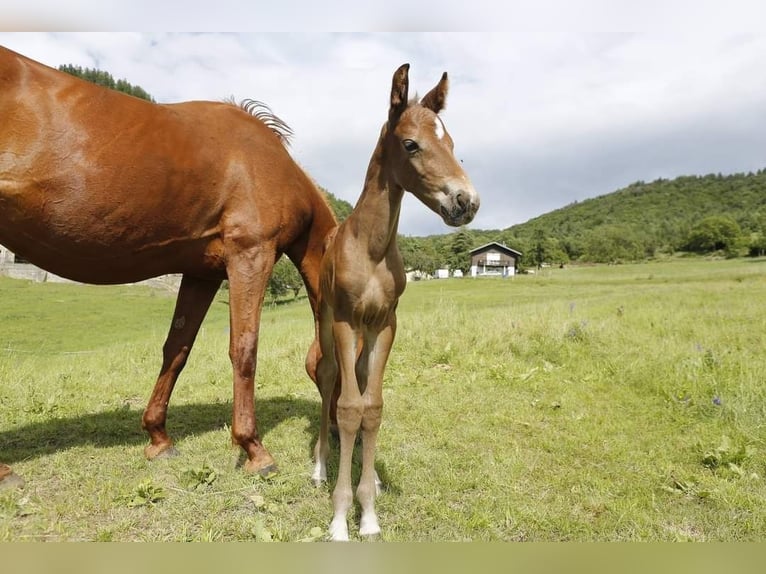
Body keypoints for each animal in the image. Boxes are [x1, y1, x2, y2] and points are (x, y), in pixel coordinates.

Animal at [0, 46, 338, 490]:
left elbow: (176, 349)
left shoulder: (202, 274)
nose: (344, 430)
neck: (269, 163)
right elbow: (244, 348)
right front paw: (254, 450)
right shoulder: (251, 255)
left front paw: (158, 437)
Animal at [310, 65, 480, 544]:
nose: (466, 201)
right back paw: (319, 465)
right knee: (329, 378)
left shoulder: (386, 324)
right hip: (326, 321)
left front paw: (368, 509)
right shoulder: (346, 321)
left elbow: (373, 407)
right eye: (411, 144)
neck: (371, 247)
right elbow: (349, 408)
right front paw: (340, 517)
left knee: (360, 379)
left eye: (452, 143)